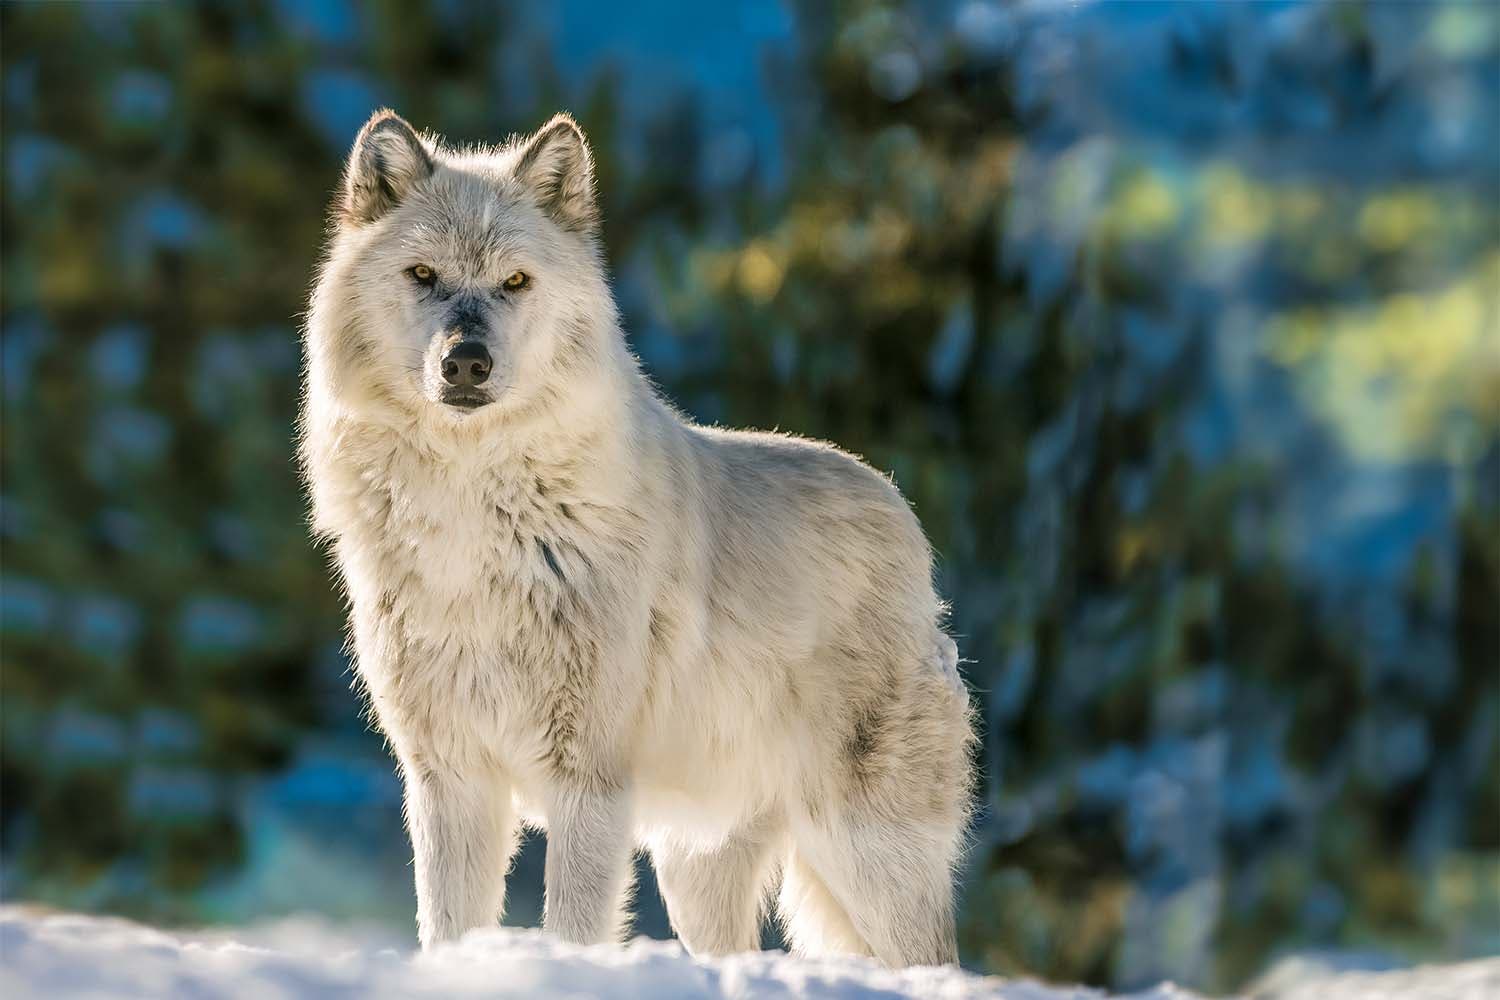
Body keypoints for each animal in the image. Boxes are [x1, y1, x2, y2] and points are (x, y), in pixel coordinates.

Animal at [299, 109, 975, 966]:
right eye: (423, 275)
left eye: (515, 282)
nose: (467, 363)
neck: (473, 520)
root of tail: (904, 516)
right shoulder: (449, 778)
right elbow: (447, 928)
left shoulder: (589, 780)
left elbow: (572, 925)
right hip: (699, 874)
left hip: (865, 855)